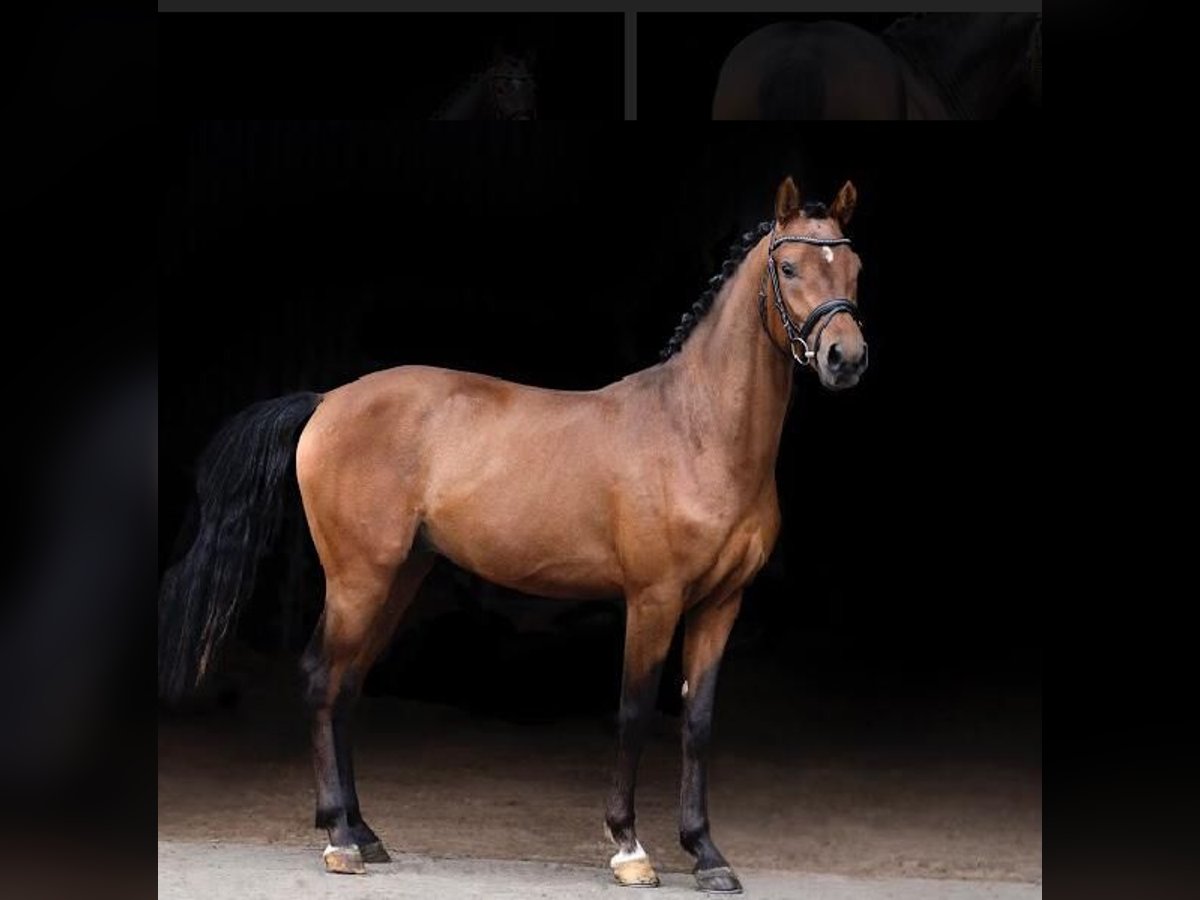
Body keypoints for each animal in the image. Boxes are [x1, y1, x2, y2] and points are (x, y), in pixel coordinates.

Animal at [159, 176, 868, 897]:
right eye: (789, 267)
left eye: (855, 268)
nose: (845, 358)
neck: (696, 431)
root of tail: (327, 401)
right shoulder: (654, 599)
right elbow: (635, 710)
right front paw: (629, 848)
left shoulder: (722, 603)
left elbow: (697, 723)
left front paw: (707, 853)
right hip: (358, 578)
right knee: (321, 678)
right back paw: (339, 839)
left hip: (399, 576)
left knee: (348, 683)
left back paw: (364, 831)